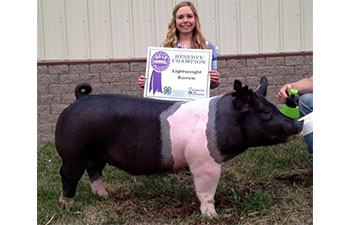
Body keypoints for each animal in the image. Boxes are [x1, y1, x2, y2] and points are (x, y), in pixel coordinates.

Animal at [55, 77, 304, 216]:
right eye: (266, 113)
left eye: (275, 107)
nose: (298, 123)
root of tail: (79, 99)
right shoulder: (204, 162)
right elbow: (206, 191)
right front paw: (212, 216)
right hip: (73, 151)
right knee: (68, 175)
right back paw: (66, 206)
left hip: (97, 153)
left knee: (94, 170)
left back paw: (104, 196)